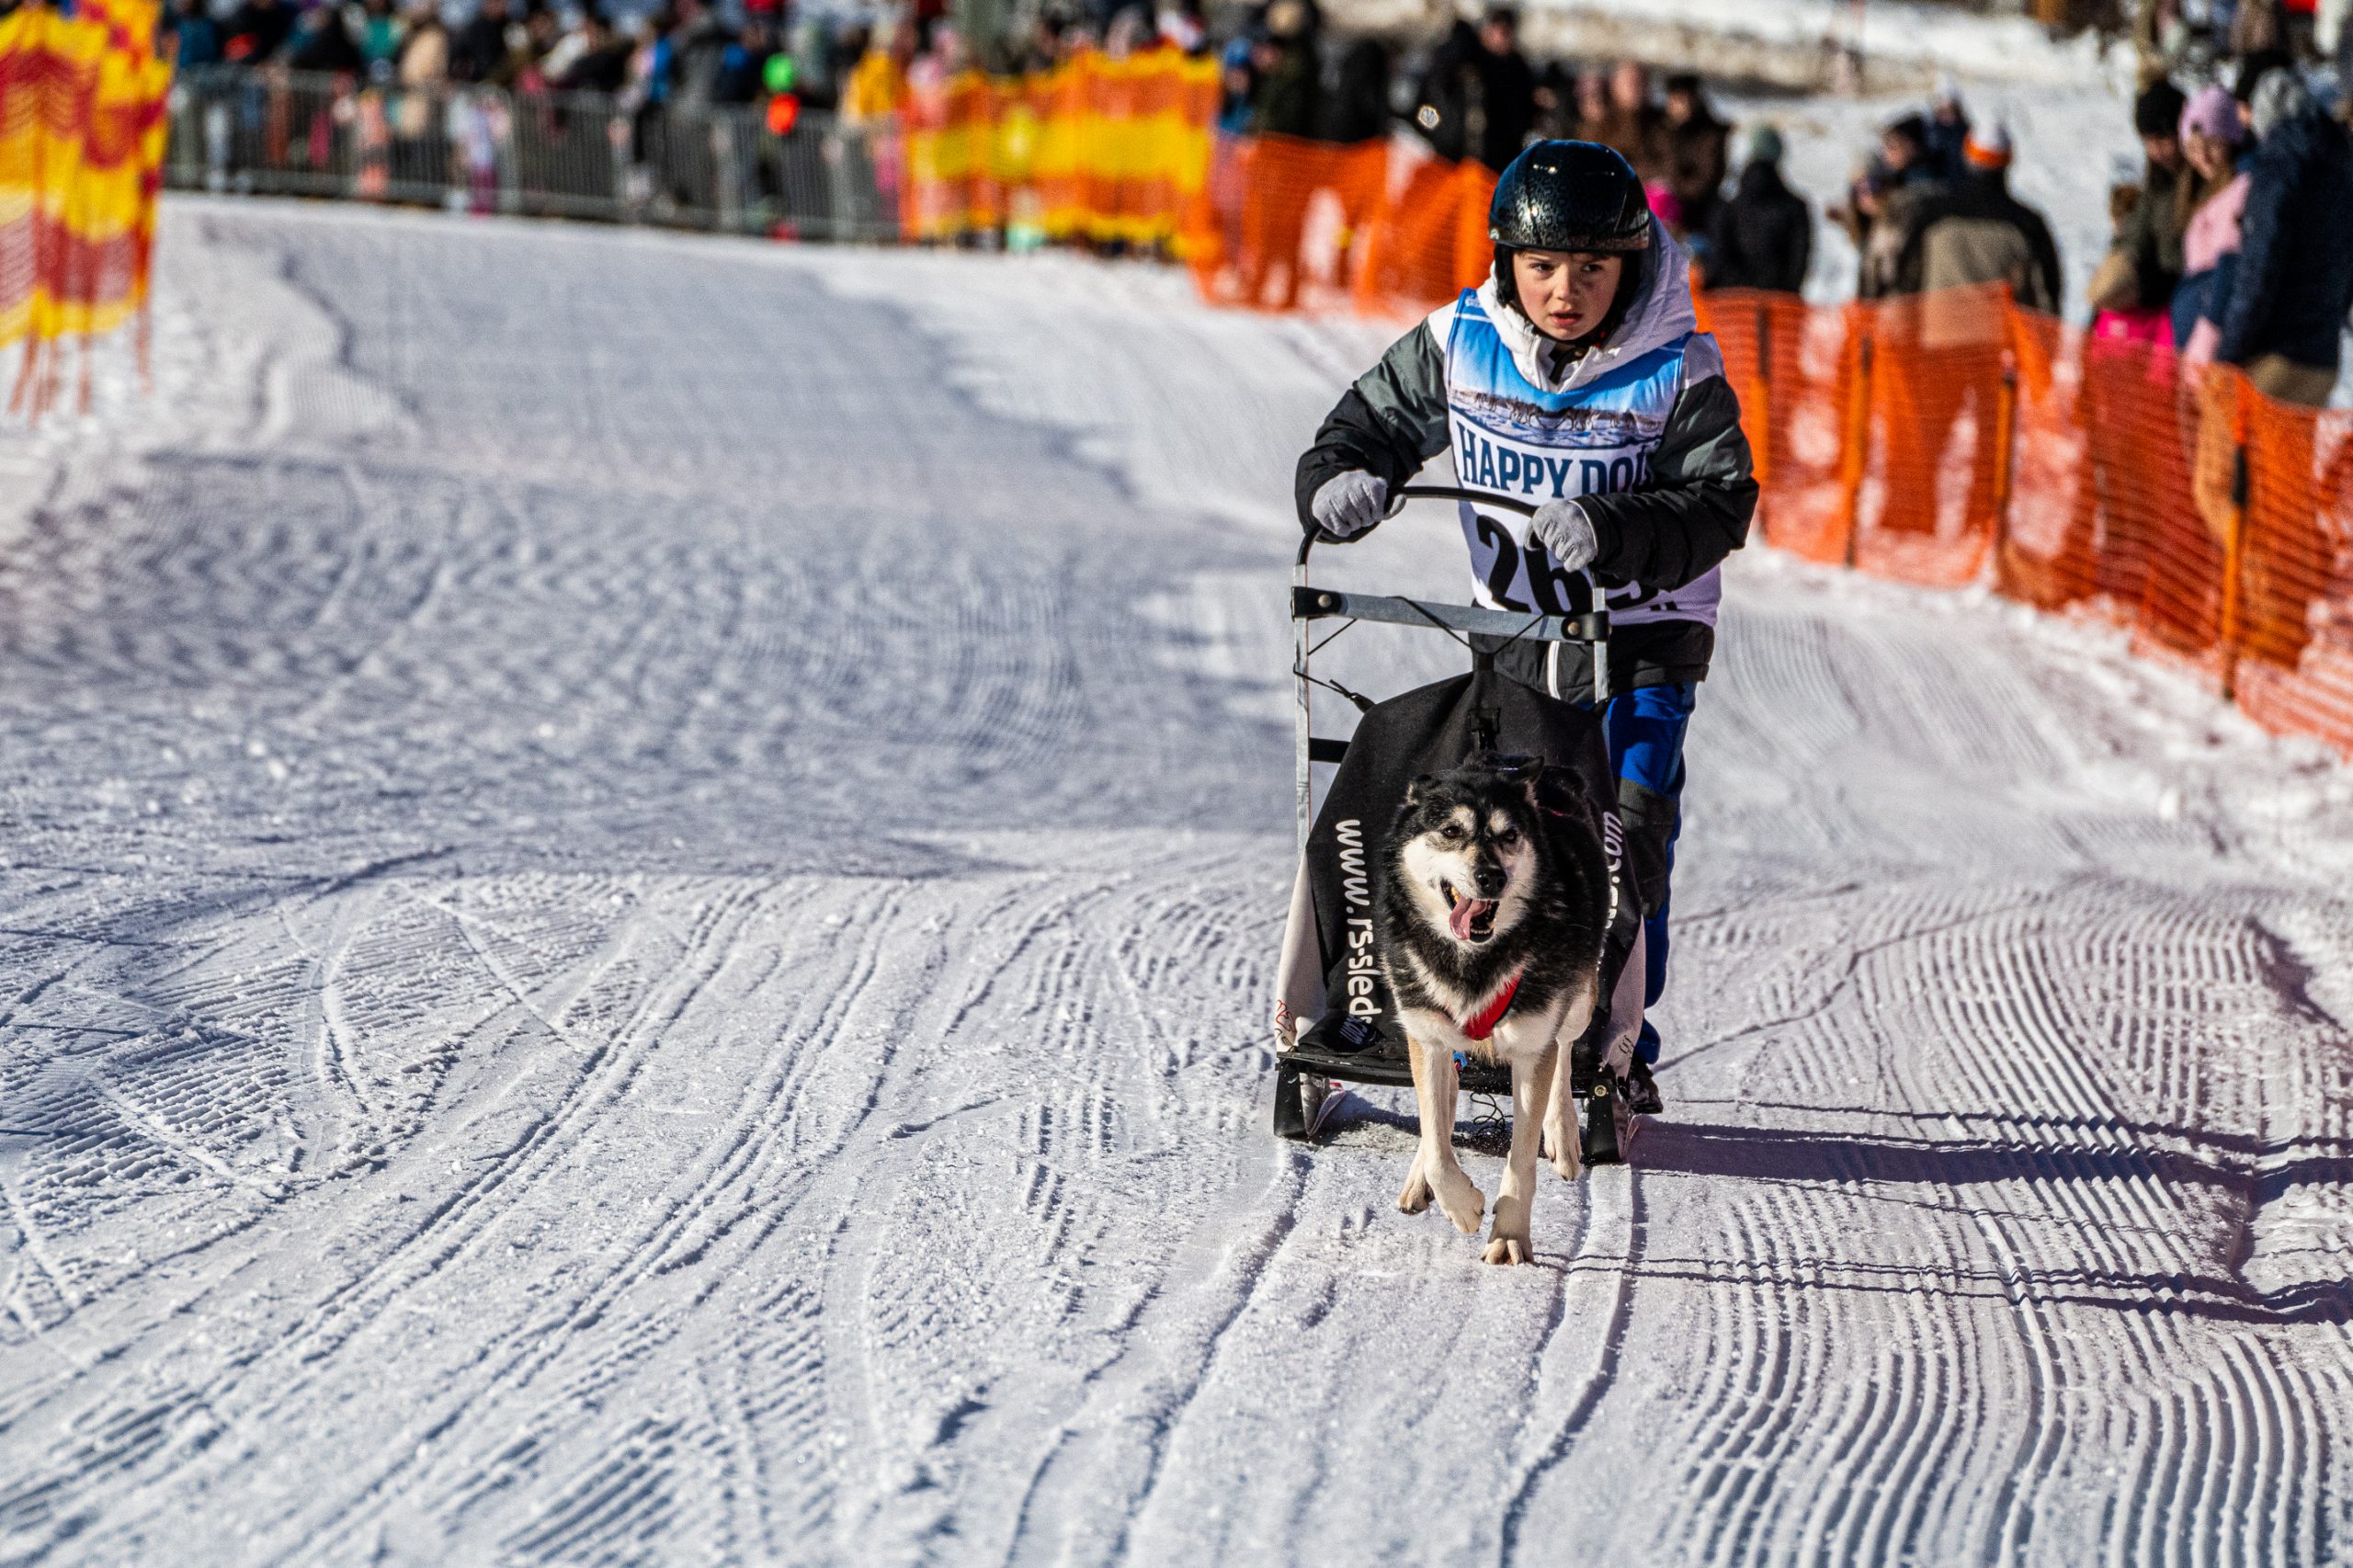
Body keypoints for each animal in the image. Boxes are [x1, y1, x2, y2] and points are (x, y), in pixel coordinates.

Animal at [1377, 751, 1612, 1265]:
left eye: (1509, 835)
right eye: (1450, 830)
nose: (1492, 877)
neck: (1473, 962)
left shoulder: (1531, 1047)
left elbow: (1521, 1159)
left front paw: (1508, 1236)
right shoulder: (1428, 1039)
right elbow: (1436, 1141)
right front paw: (1461, 1205)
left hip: (1578, 1002)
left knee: (1565, 1054)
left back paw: (1562, 1135)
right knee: (1439, 1114)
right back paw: (1418, 1179)